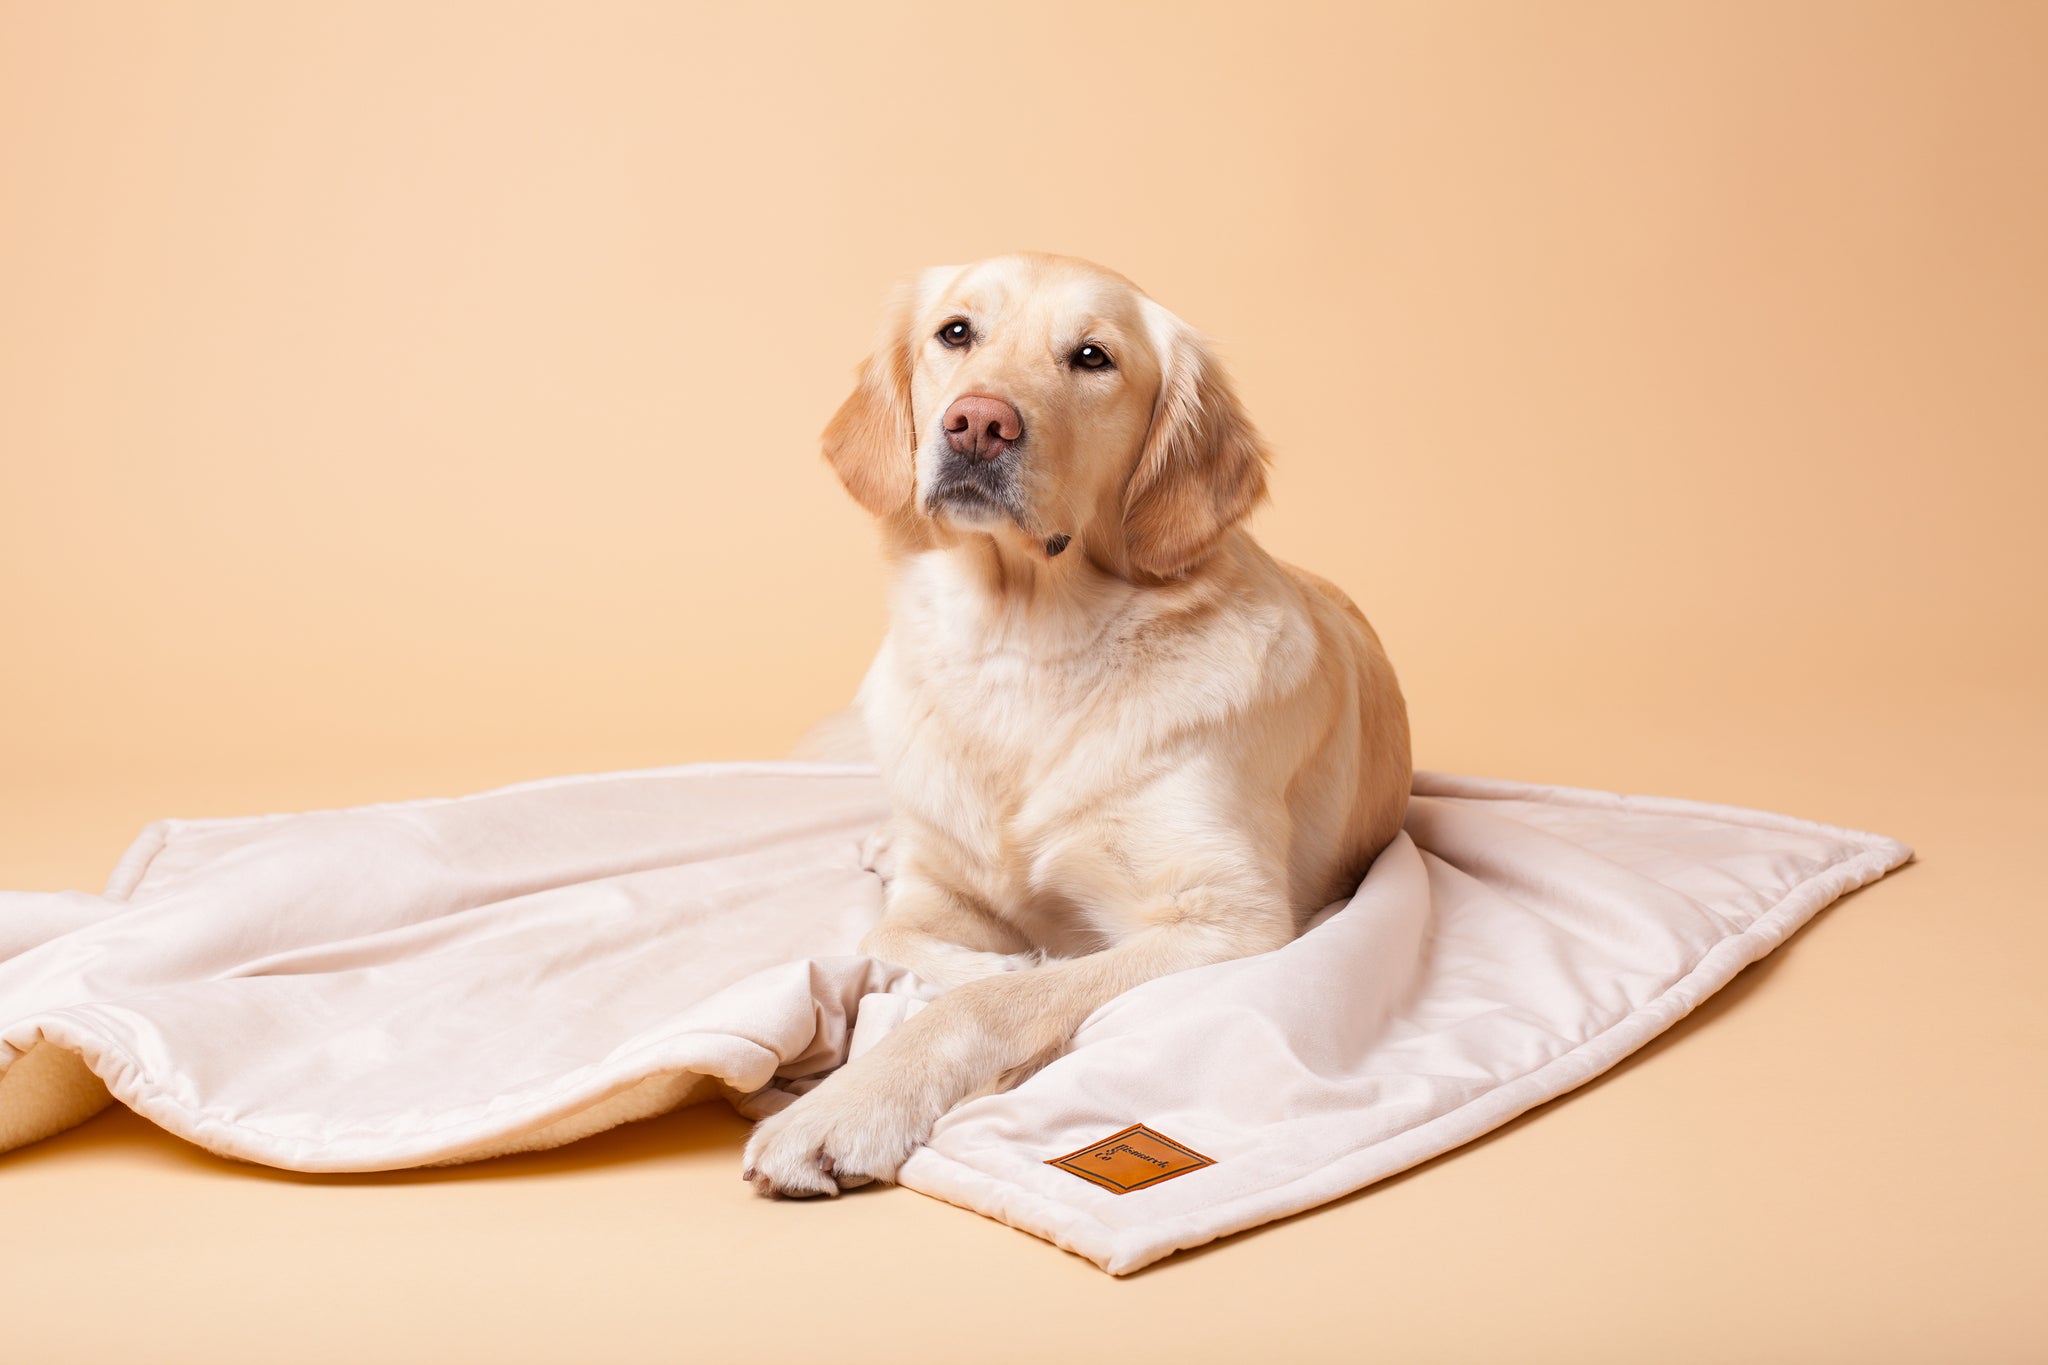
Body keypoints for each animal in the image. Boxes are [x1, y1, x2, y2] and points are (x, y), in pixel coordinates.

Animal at [741, 255, 1409, 1195]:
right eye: (955, 332)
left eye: (1093, 357)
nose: (978, 423)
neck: (1023, 646)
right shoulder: (940, 888)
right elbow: (894, 929)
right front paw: (998, 955)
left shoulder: (1231, 922)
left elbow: (993, 996)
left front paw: (848, 1105)